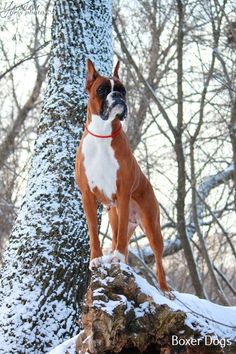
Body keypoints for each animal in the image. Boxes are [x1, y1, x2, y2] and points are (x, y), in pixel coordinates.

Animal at [76, 58, 171, 294]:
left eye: (123, 90)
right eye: (102, 90)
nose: (118, 96)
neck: (102, 134)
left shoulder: (123, 191)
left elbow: (120, 243)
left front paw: (116, 257)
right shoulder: (87, 196)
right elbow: (93, 231)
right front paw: (96, 259)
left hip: (151, 225)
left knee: (158, 258)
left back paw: (164, 288)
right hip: (117, 217)